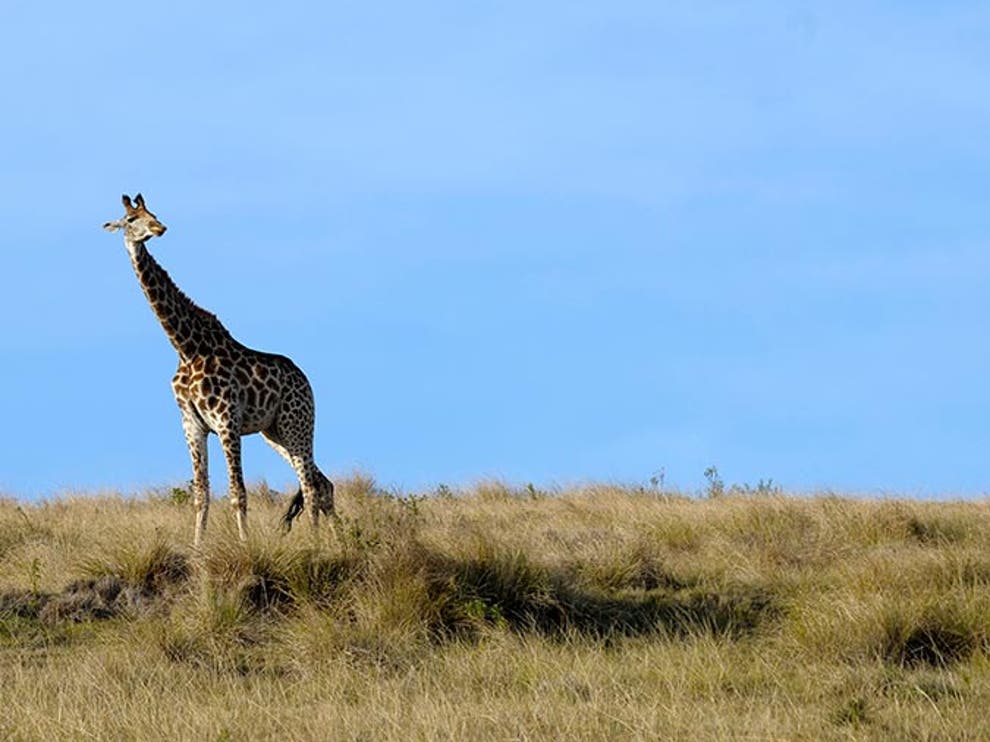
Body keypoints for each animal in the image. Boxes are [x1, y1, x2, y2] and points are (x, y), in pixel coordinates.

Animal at [104, 195, 332, 544]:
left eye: (152, 213)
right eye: (131, 219)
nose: (159, 228)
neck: (185, 347)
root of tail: (305, 380)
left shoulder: (227, 420)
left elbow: (238, 492)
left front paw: (245, 544)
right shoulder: (192, 424)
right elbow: (201, 493)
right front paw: (197, 547)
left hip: (297, 423)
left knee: (310, 486)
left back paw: (319, 544)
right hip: (274, 432)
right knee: (323, 483)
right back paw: (337, 538)